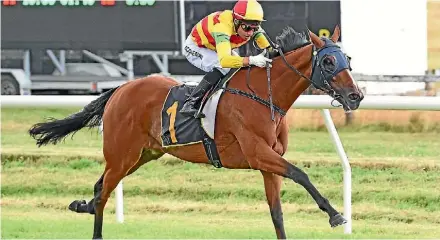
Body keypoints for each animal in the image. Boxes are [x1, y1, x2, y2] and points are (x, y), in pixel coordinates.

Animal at [29, 25, 362, 239]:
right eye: (328, 61)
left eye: (348, 59)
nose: (356, 96)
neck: (264, 96)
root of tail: (120, 89)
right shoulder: (258, 154)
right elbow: (301, 174)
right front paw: (335, 215)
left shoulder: (268, 162)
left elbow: (277, 214)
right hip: (121, 154)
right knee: (103, 195)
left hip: (140, 155)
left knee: (100, 188)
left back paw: (80, 204)